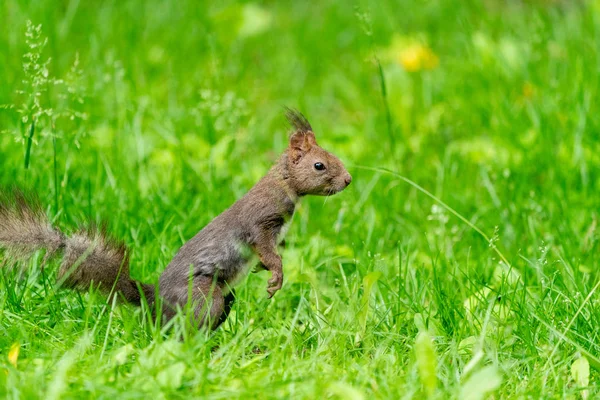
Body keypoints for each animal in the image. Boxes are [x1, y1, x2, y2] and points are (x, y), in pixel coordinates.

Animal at [0, 108, 352, 330]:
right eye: (320, 165)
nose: (348, 180)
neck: (285, 185)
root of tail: (153, 300)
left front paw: (266, 271)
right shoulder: (259, 224)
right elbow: (267, 249)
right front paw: (276, 276)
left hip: (224, 297)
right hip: (204, 296)